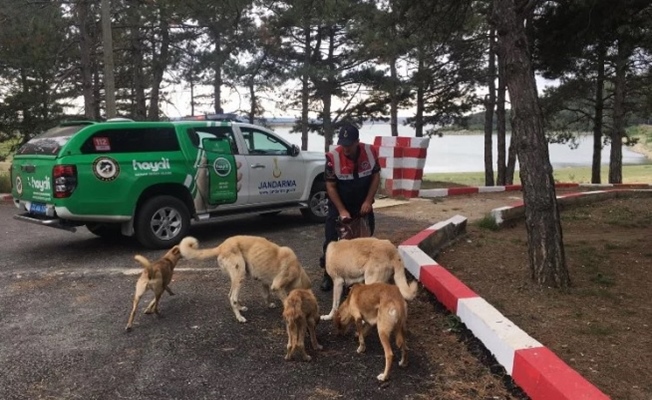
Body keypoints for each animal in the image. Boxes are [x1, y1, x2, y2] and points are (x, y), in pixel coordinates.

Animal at [178, 234, 310, 322]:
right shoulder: (276, 286)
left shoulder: (264, 282)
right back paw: (239, 317)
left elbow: (266, 295)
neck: (297, 271)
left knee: (230, 296)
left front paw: (269, 305)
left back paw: (240, 308)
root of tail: (221, 246)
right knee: (233, 298)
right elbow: (285, 300)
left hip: (237, 277)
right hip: (240, 275)